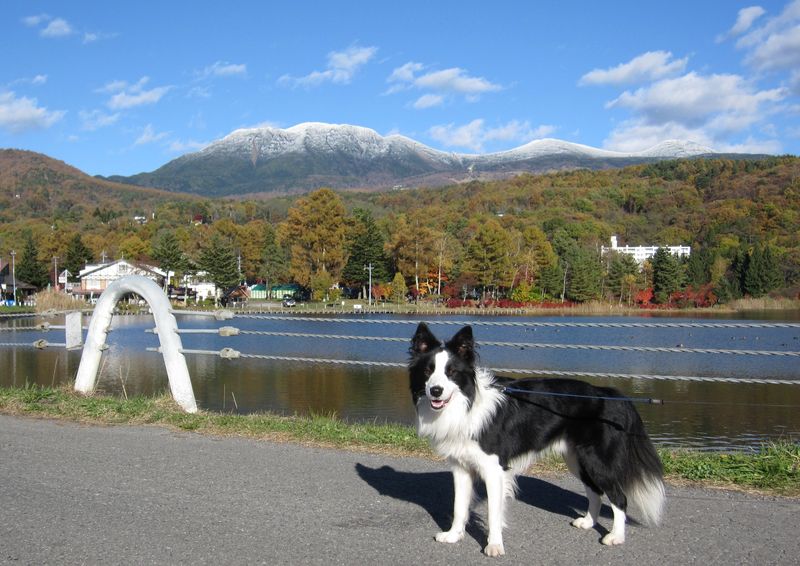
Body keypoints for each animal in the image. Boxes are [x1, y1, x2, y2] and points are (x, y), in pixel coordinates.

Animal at [410, 324, 664, 560]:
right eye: (428, 370)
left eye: (452, 371)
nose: (435, 390)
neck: (467, 403)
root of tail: (608, 393)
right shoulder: (461, 466)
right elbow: (459, 506)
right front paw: (454, 535)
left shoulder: (493, 469)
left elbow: (493, 512)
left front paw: (494, 546)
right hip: (576, 459)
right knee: (594, 491)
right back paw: (588, 522)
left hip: (597, 459)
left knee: (618, 497)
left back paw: (616, 536)